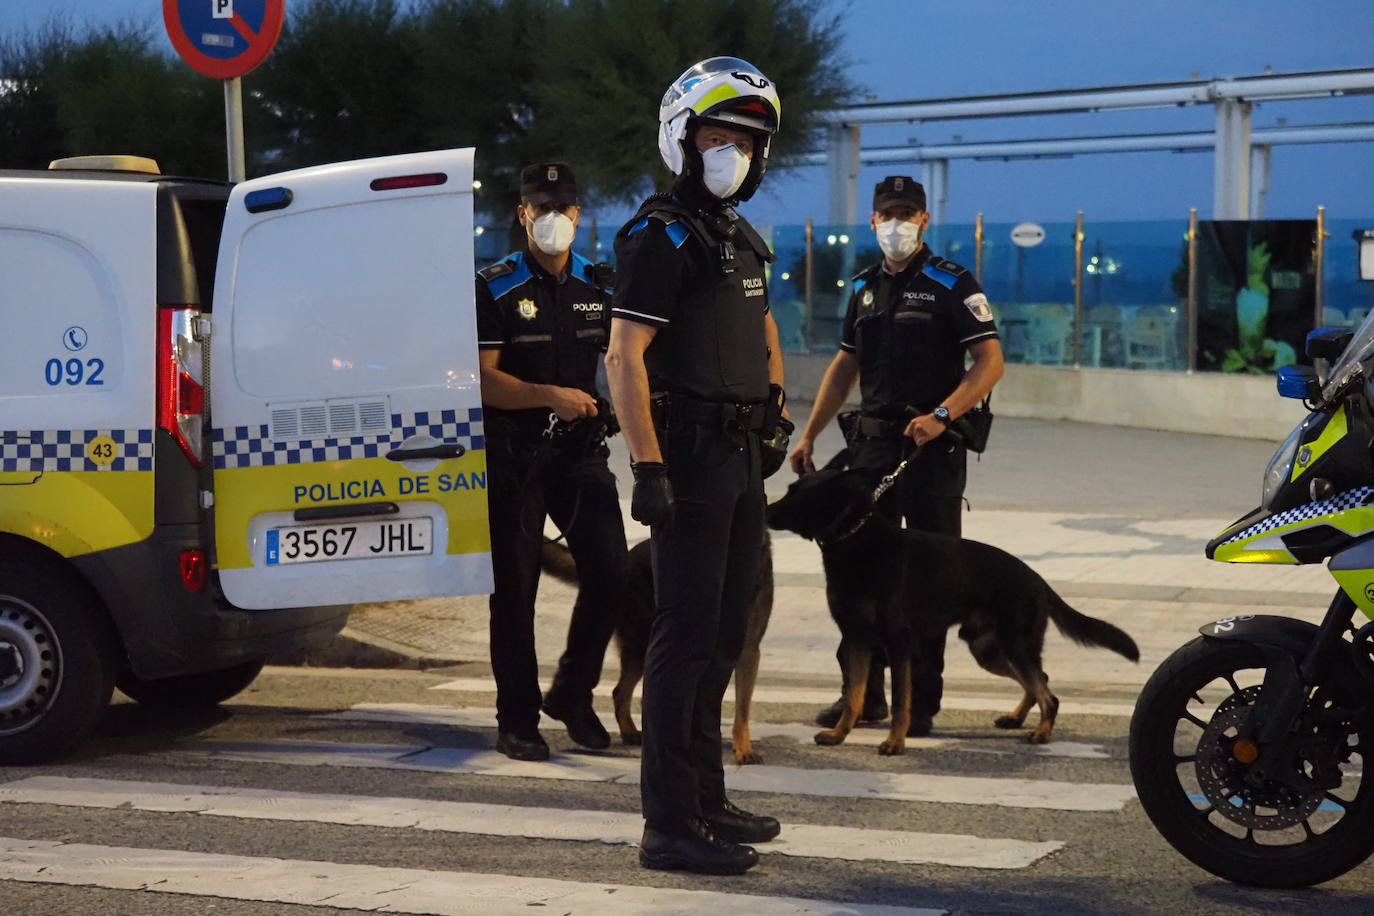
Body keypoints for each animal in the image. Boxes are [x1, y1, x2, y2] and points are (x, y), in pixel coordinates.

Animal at [538, 532, 774, 763]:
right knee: (623, 692)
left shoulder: (747, 652)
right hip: (643, 646)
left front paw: (742, 748)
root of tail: (628, 560)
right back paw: (634, 733)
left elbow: (741, 709)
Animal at [763, 461, 1137, 758]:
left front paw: (895, 743)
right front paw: (840, 735)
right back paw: (1016, 718)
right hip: (989, 651)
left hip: (1013, 645)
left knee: (1048, 693)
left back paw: (1042, 732)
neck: (855, 540)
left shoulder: (897, 645)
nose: (764, 510)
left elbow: (900, 703)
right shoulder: (857, 640)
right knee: (1039, 680)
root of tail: (1038, 580)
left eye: (796, 492)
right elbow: (854, 696)